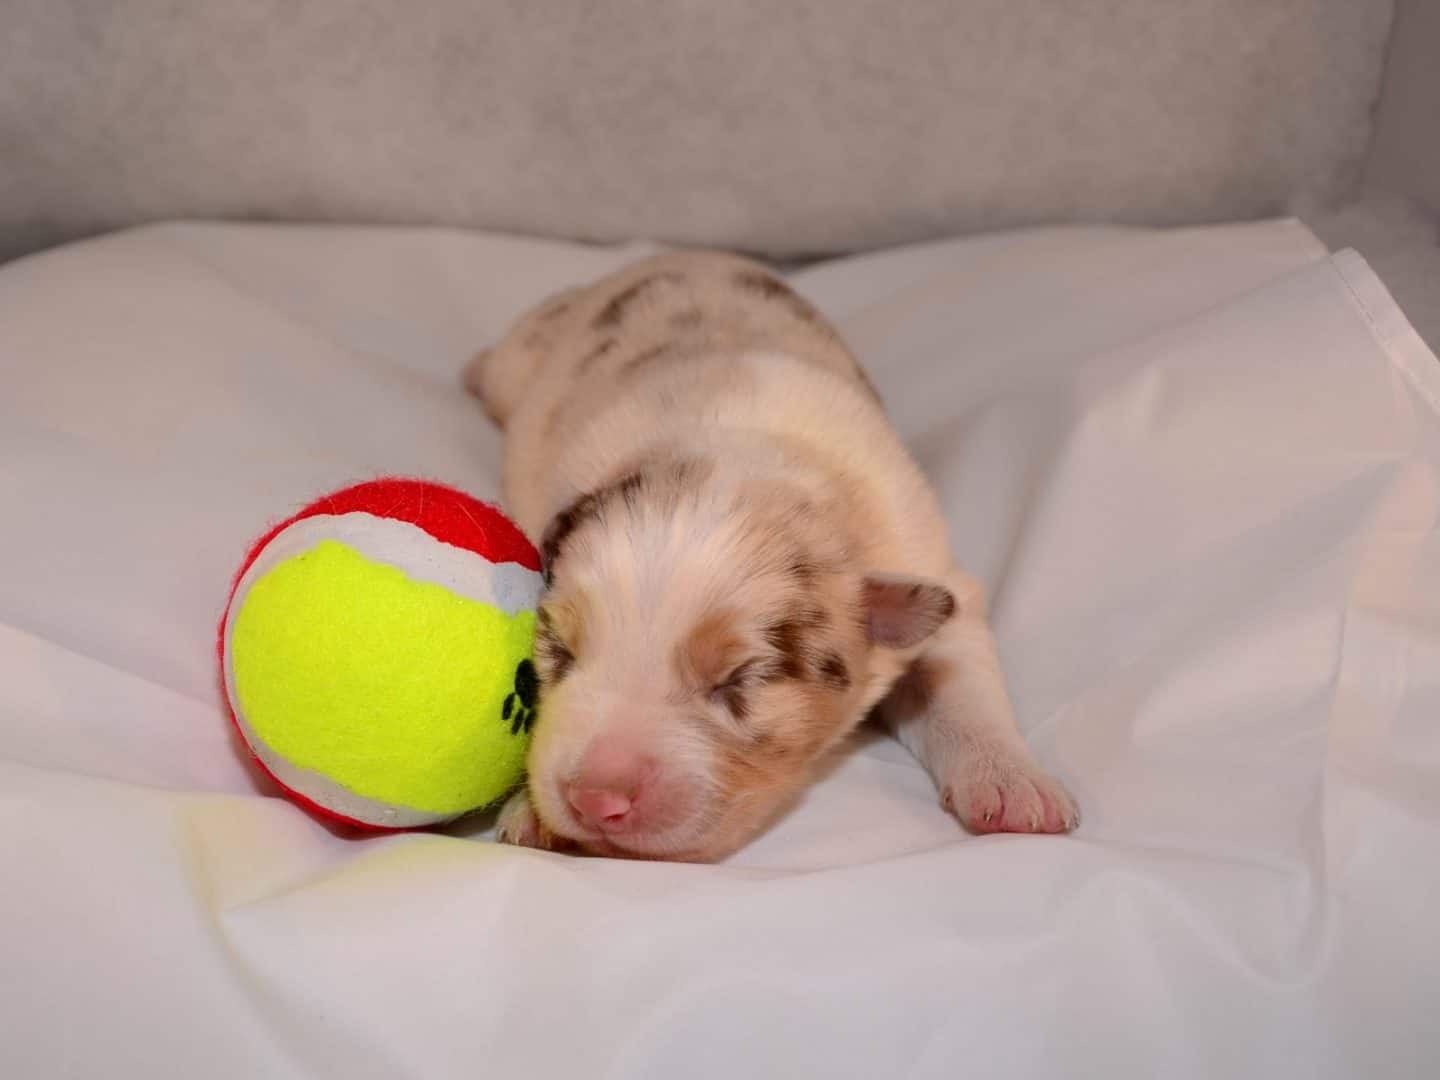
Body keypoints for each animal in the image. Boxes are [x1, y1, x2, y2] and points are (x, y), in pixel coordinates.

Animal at [467, 252, 1077, 861]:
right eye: (559, 651)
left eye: (741, 678)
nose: (596, 799)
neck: (746, 451)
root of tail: (668, 254)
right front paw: (532, 814)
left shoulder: (929, 561)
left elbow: (958, 676)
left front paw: (1013, 784)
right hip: (529, 350)